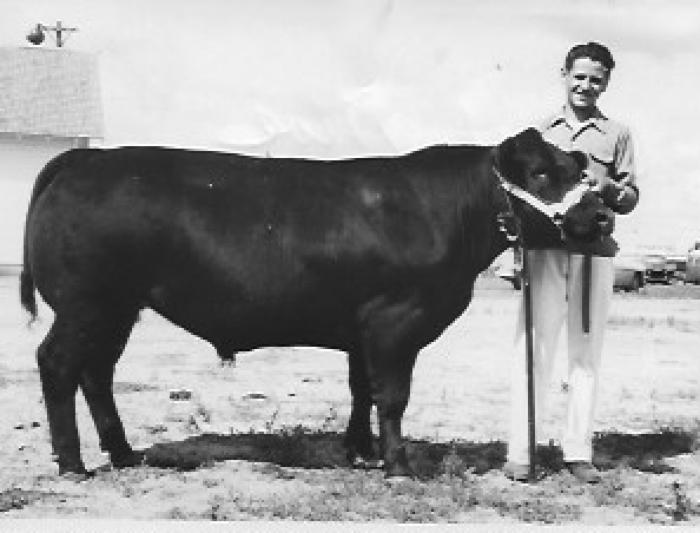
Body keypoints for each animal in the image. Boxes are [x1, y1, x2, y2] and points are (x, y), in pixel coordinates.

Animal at [20, 127, 611, 478]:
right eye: (541, 173)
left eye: (578, 171)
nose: (603, 215)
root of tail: (88, 158)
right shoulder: (395, 323)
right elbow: (392, 396)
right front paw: (398, 464)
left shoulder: (361, 328)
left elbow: (362, 391)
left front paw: (360, 451)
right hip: (86, 304)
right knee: (58, 364)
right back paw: (72, 463)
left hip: (117, 309)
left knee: (96, 372)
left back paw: (123, 453)